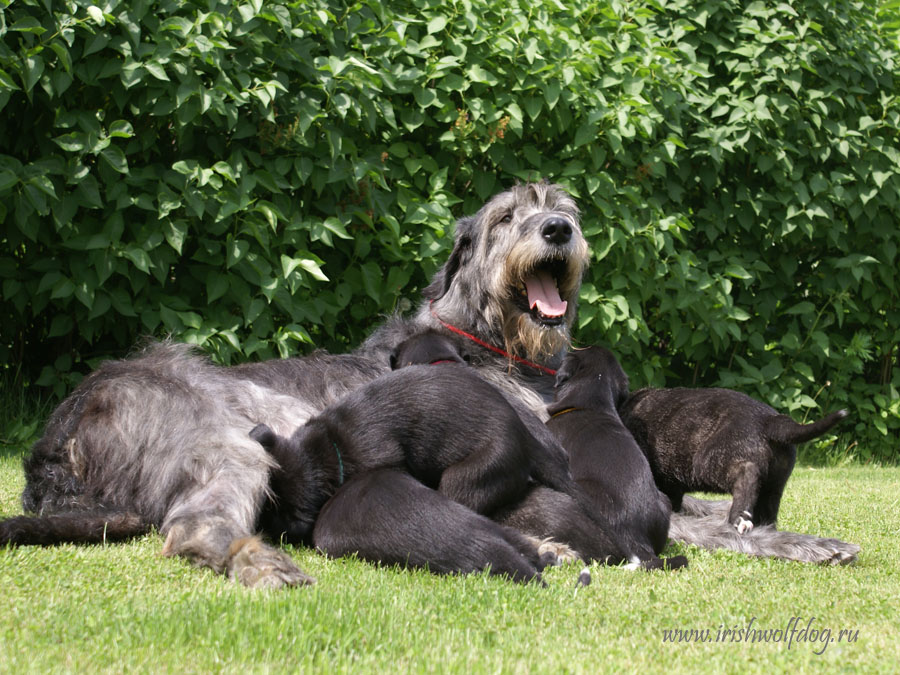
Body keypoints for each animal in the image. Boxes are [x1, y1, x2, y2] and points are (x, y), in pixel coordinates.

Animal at [624, 380, 848, 532]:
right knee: (768, 507)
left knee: (746, 475)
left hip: (708, 462)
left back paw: (738, 519)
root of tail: (771, 420)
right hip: (776, 484)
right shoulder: (672, 485)